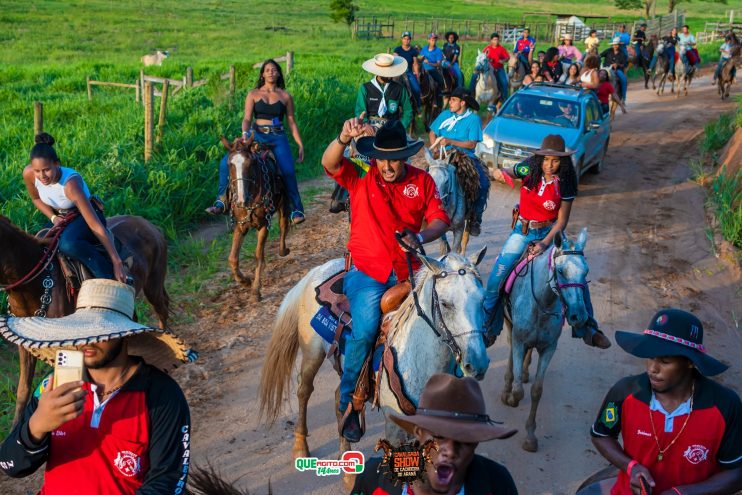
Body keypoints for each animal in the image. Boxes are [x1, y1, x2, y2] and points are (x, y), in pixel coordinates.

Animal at [0, 214, 170, 426]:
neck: (36, 284)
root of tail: (150, 225)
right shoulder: (24, 343)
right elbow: (23, 390)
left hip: (153, 285)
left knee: (162, 313)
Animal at [219, 134, 290, 300]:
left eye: (250, 163)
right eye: (229, 164)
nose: (240, 200)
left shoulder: (264, 224)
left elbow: (258, 256)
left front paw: (256, 290)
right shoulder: (240, 226)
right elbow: (232, 258)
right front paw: (244, 281)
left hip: (284, 204)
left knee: (284, 225)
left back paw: (283, 250)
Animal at [258, 250, 492, 460]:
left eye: (483, 300)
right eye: (445, 303)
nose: (477, 363)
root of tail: (318, 269)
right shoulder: (394, 426)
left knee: (340, 395)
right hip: (311, 353)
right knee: (304, 391)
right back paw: (300, 446)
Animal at [500, 229, 592, 454]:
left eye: (585, 272)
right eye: (561, 271)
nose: (579, 316)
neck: (542, 302)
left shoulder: (549, 348)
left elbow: (536, 391)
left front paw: (530, 437)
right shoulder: (519, 339)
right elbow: (518, 390)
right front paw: (511, 397)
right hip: (509, 325)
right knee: (511, 354)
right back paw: (507, 388)